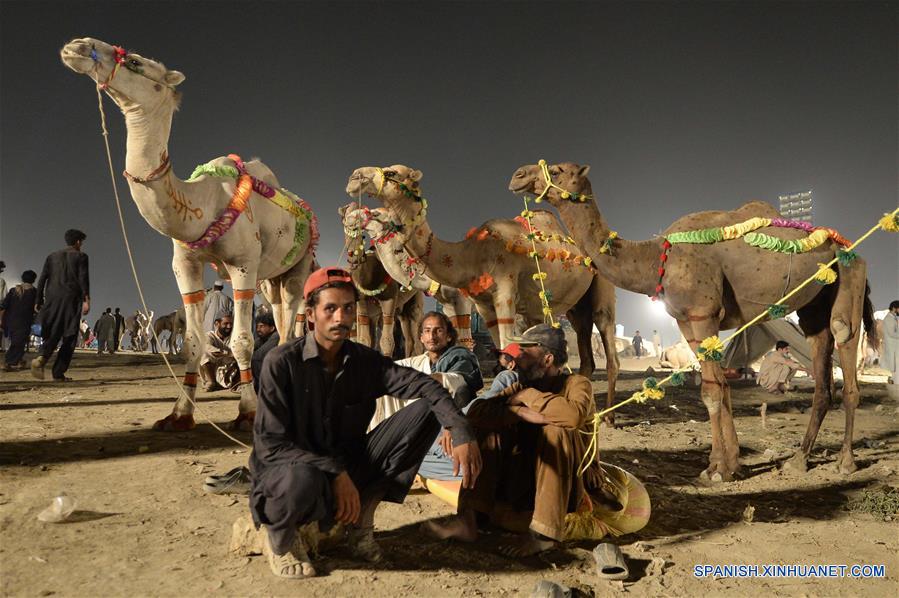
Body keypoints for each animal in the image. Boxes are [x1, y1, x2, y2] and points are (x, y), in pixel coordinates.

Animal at [59, 38, 320, 432]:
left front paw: (248, 412)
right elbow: (193, 344)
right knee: (277, 317)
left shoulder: (242, 264)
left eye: (135, 61)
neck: (203, 203)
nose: (77, 46)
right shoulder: (185, 263)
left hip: (299, 264)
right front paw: (179, 414)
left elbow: (242, 341)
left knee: (290, 321)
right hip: (268, 278)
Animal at [338, 204, 426, 358]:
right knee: (408, 338)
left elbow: (386, 342)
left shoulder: (389, 300)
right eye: (344, 219)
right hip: (400, 313)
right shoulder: (362, 306)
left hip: (415, 303)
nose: (352, 257)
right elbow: (365, 340)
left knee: (417, 339)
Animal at [340, 200, 478, 344]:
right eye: (344, 216)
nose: (351, 218)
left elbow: (386, 341)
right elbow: (364, 340)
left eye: (375, 213)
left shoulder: (462, 302)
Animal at [510, 161, 876, 482]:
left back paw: (845, 462)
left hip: (849, 275)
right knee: (821, 365)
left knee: (845, 340)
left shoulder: (703, 313)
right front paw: (729, 464)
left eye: (557, 169)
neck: (655, 257)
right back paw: (799, 459)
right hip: (816, 303)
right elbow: (719, 388)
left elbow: (712, 392)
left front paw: (717, 471)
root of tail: (846, 246)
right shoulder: (687, 322)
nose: (518, 176)